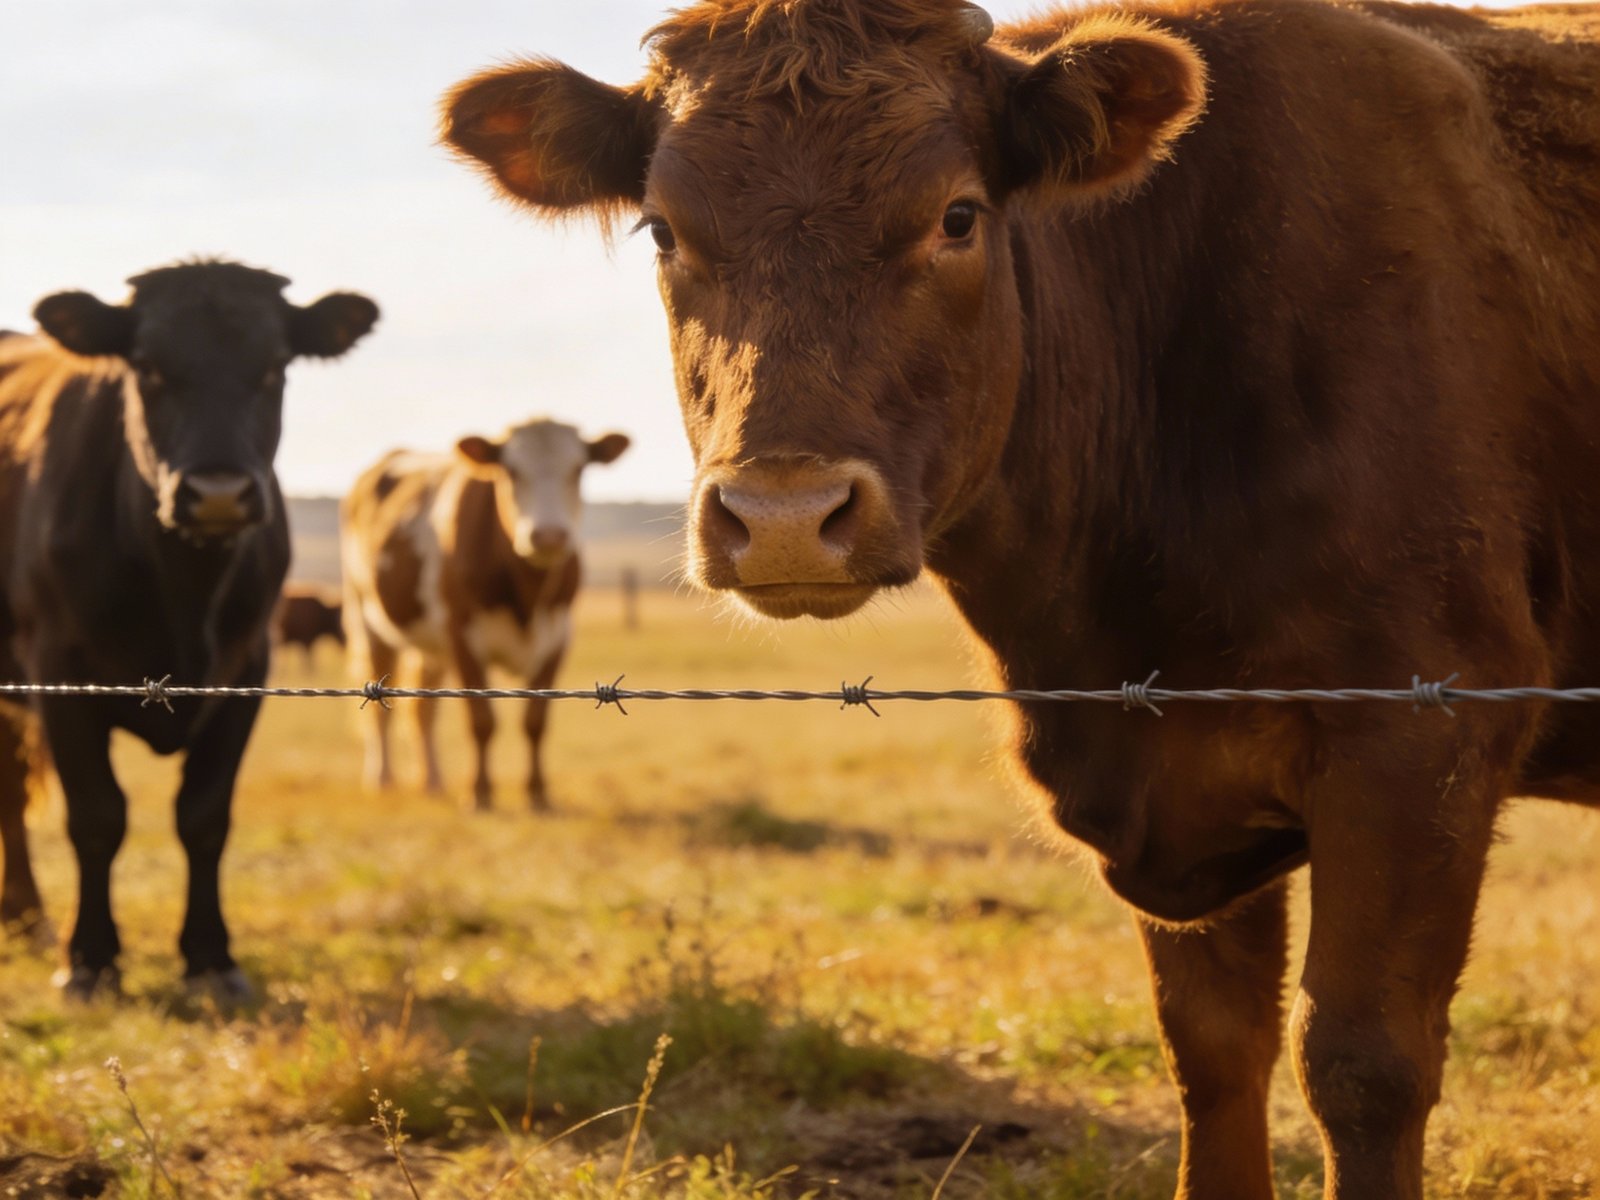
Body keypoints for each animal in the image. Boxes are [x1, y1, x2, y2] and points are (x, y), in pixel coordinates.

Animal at [0, 261, 378, 1000]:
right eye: (147, 366)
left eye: (275, 366)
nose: (219, 493)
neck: (180, 590)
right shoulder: (58, 674)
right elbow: (96, 814)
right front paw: (89, 958)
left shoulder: (247, 673)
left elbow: (204, 816)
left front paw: (210, 957)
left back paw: (23, 917)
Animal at [340, 419, 629, 811]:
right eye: (511, 471)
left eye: (578, 469)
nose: (549, 535)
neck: (527, 592)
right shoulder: (463, 635)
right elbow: (481, 719)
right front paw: (479, 793)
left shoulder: (557, 637)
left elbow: (535, 720)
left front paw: (538, 794)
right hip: (368, 620)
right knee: (378, 706)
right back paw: (382, 778)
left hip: (430, 645)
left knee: (423, 711)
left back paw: (432, 781)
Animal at [441, 2, 1600, 1196]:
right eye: (663, 231)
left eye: (958, 215)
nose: (783, 514)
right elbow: (1213, 1050)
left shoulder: (1424, 733)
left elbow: (1362, 1064)